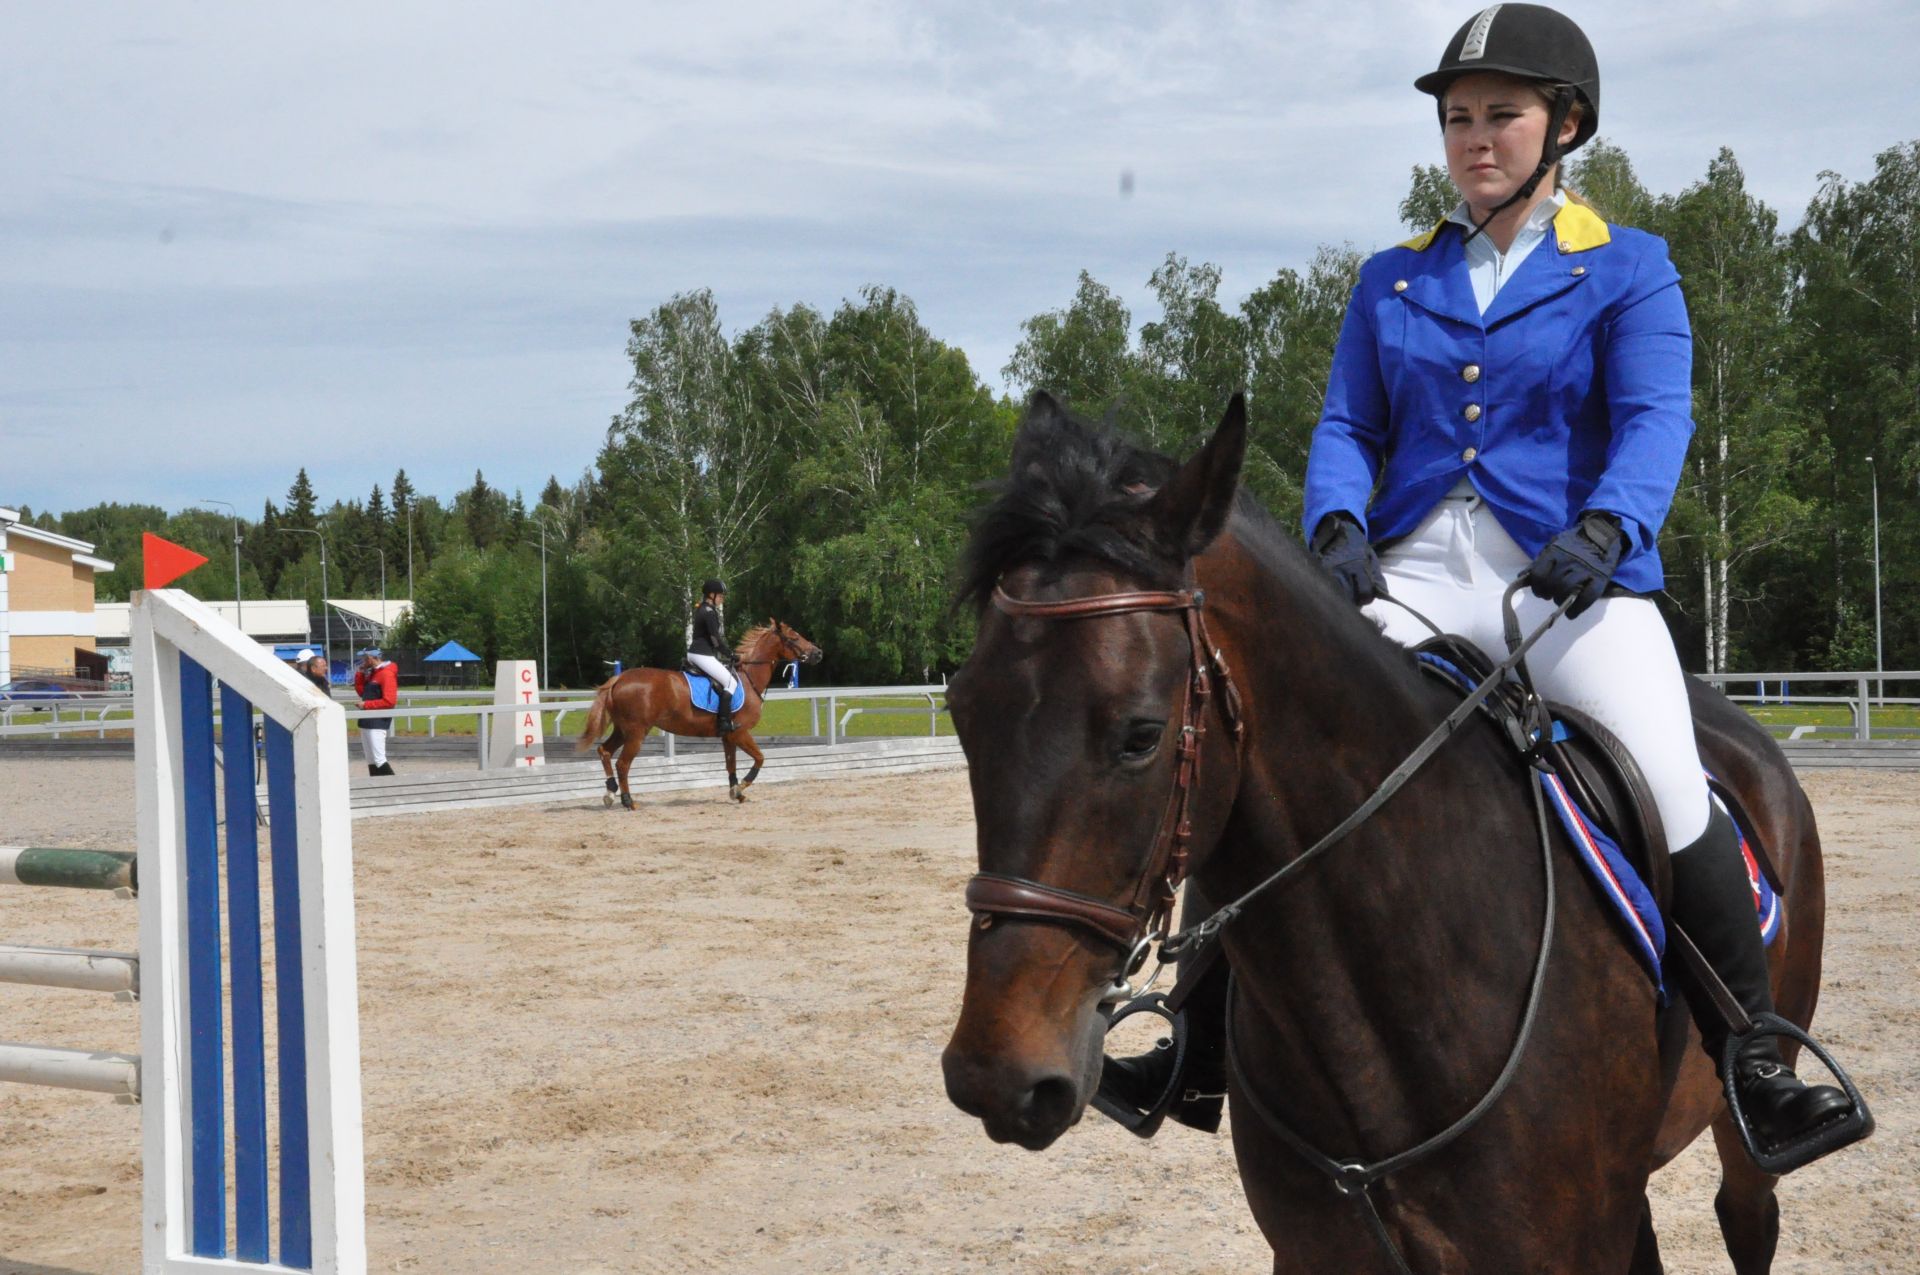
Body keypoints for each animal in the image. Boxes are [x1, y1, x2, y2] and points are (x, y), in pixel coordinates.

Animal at [583, 618, 825, 806]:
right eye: (794, 638)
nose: (818, 653)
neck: (749, 678)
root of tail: (619, 679)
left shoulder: (728, 736)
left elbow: (730, 764)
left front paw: (736, 793)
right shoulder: (740, 732)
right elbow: (759, 758)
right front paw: (742, 787)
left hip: (623, 730)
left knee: (604, 751)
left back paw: (610, 793)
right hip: (636, 733)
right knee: (622, 763)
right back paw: (628, 801)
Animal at [936, 393, 1835, 1267]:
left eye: (1141, 734)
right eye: (964, 713)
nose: (996, 1074)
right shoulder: (1319, 1252)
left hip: (1745, 1139)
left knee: (1747, 1211)